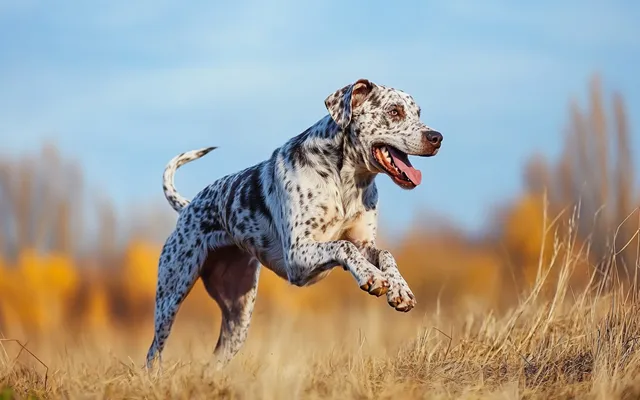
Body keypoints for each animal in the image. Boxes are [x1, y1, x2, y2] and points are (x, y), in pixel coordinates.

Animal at [147, 79, 442, 370]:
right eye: (394, 111)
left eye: (418, 113)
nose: (437, 138)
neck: (345, 182)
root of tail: (187, 207)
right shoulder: (298, 257)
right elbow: (343, 247)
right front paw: (372, 276)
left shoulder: (364, 243)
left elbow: (384, 253)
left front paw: (400, 288)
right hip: (171, 296)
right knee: (153, 353)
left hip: (238, 317)